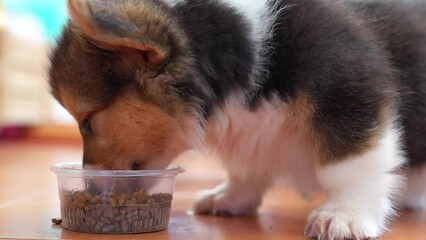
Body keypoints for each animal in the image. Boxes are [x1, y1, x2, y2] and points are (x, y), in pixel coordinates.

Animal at [49, 0, 426, 239]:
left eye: (88, 119)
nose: (90, 189)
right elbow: (247, 168)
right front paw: (230, 197)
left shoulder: (349, 92)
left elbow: (349, 167)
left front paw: (345, 215)